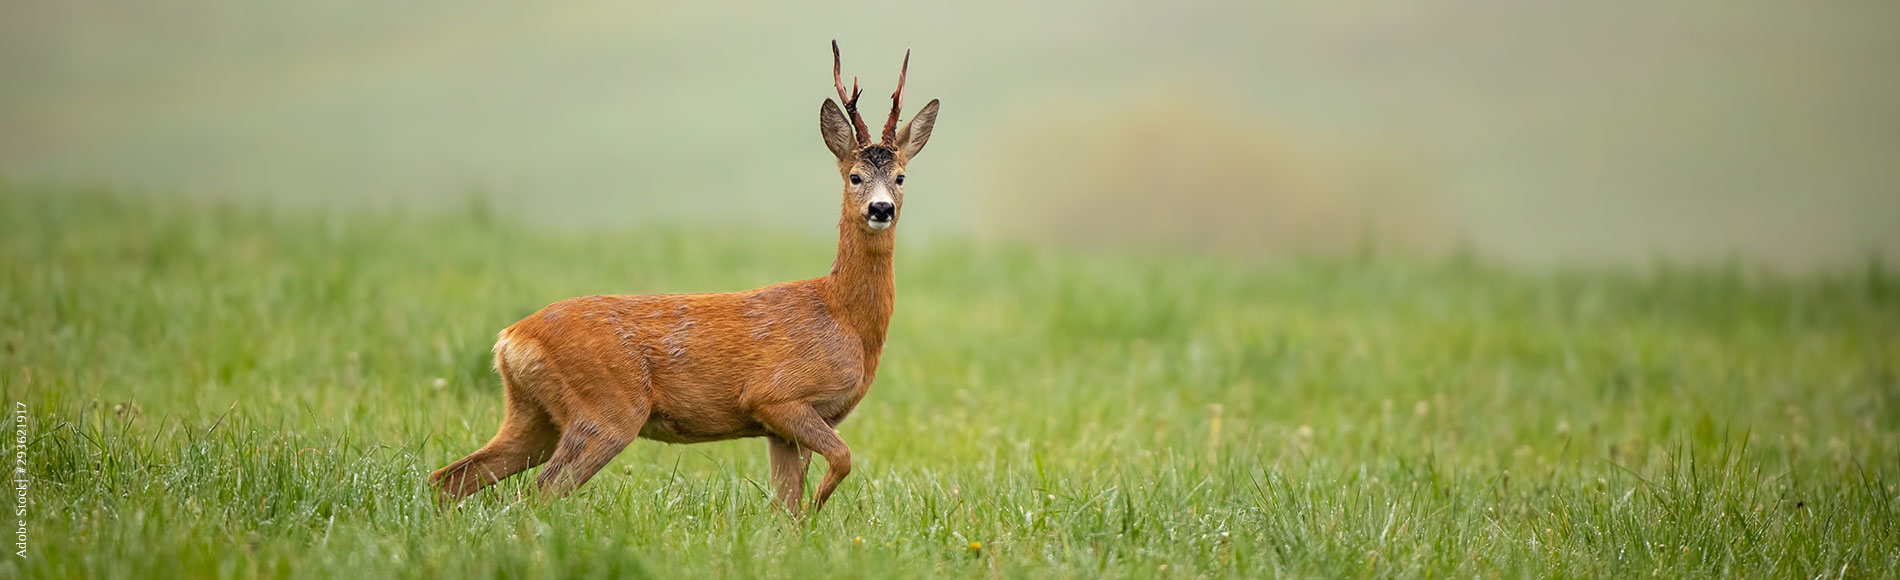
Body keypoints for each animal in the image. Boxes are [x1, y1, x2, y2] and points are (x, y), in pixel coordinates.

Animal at [429, 41, 939, 517]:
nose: (881, 208)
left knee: (450, 478)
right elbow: (842, 461)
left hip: (533, 416)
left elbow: (785, 505)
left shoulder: (783, 427)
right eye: (854, 176)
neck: (843, 316)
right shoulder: (776, 396)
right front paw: (818, 505)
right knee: (536, 492)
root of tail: (510, 339)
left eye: (901, 177)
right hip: (605, 410)